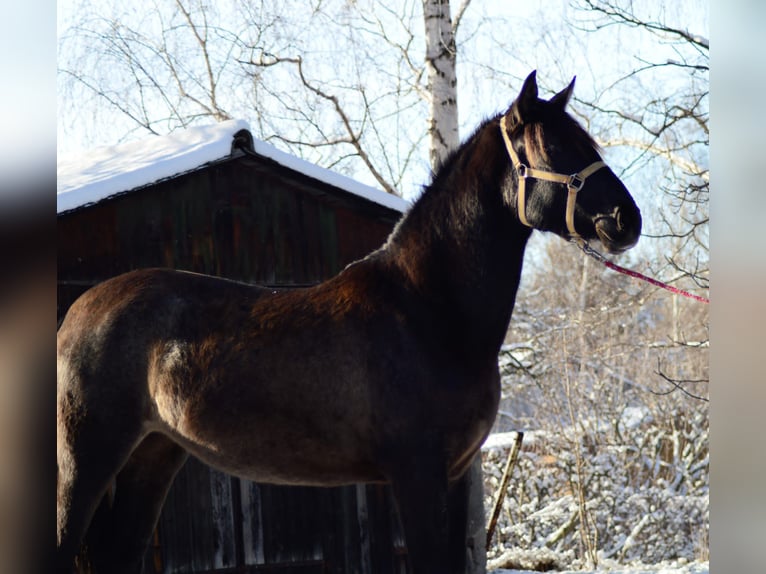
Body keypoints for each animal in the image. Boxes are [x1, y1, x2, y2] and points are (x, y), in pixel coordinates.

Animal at [57, 73, 640, 574]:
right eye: (554, 149)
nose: (625, 220)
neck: (426, 310)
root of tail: (79, 311)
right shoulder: (416, 474)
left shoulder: (452, 476)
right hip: (84, 463)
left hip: (154, 455)